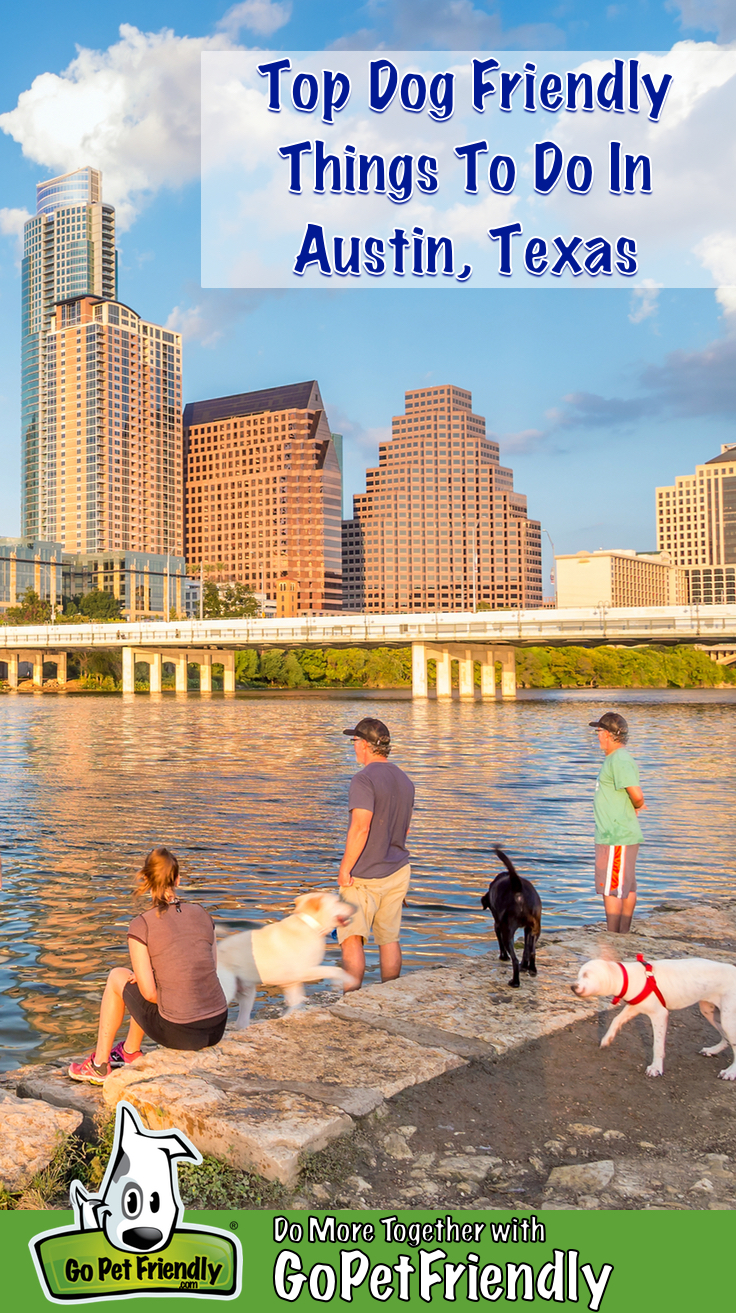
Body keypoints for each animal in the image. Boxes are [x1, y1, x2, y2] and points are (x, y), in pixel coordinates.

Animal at [215, 887, 356, 1029]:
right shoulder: (304, 971)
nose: (355, 907)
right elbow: (334, 970)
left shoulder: (292, 982)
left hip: (247, 993)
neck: (309, 925)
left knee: (241, 1022)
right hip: (228, 989)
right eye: (338, 901)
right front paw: (346, 980)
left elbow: (296, 1000)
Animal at [480, 850, 543, 987]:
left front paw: (503, 957)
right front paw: (525, 967)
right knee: (531, 951)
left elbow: (500, 942)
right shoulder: (527, 929)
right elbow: (526, 949)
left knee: (514, 959)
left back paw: (515, 982)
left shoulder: (497, 925)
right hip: (536, 928)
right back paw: (531, 969)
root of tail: (518, 887)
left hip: (507, 930)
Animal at [572, 955, 734, 1076]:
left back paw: (730, 1072)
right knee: (726, 1038)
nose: (572, 987)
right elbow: (616, 1020)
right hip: (709, 1011)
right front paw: (607, 1039)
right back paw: (712, 1050)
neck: (629, 978)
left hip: (727, 1019)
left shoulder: (660, 1015)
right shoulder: (634, 1007)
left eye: (586, 974)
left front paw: (656, 1068)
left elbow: (657, 1045)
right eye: (578, 975)